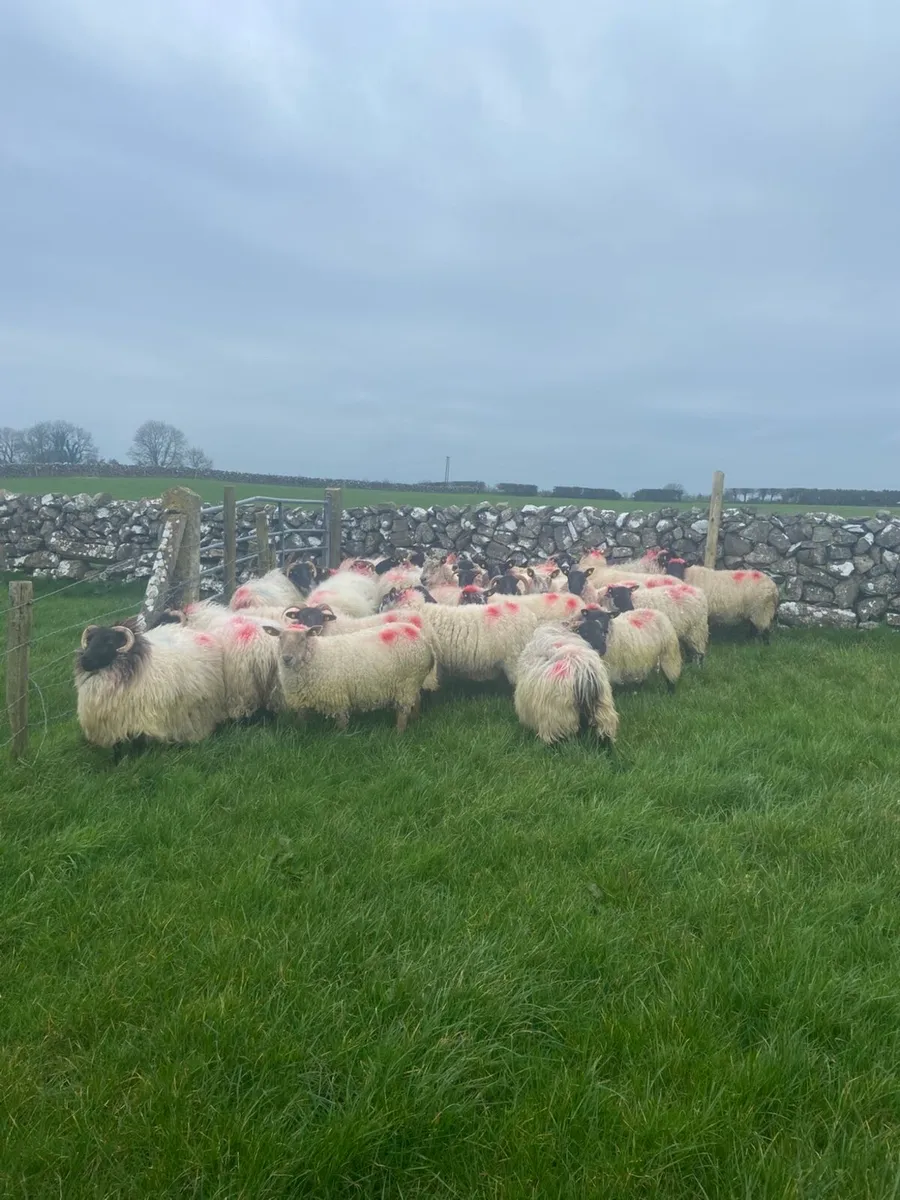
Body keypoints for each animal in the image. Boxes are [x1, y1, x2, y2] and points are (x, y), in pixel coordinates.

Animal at [264, 620, 437, 733]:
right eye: (280, 638)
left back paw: (399, 733)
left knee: (403, 710)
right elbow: (301, 718)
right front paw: (300, 732)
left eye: (302, 639)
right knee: (416, 700)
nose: (287, 658)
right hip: (412, 682)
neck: (316, 656)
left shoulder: (337, 696)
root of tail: (423, 638)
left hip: (407, 681)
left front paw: (341, 738)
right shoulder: (303, 697)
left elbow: (341, 721)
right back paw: (415, 720)